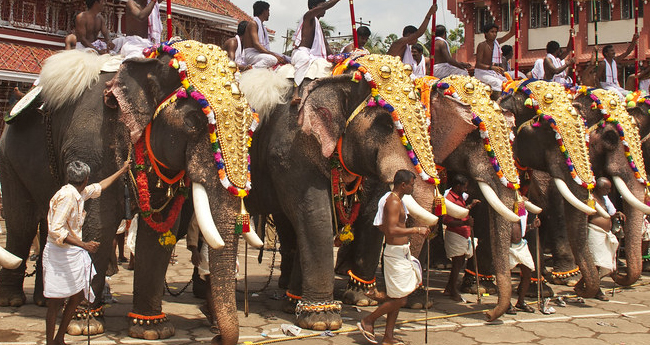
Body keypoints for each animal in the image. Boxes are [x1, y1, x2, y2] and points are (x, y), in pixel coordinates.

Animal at [1, 41, 264, 344]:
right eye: (193, 121)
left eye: (253, 126)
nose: (216, 337)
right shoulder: (91, 143)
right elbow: (98, 225)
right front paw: (84, 325)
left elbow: (159, 233)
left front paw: (152, 329)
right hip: (9, 156)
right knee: (21, 222)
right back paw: (13, 300)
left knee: (47, 224)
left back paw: (46, 300)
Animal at [240, 54, 442, 330]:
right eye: (385, 124)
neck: (339, 78)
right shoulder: (289, 151)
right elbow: (315, 216)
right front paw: (323, 321)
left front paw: (299, 307)